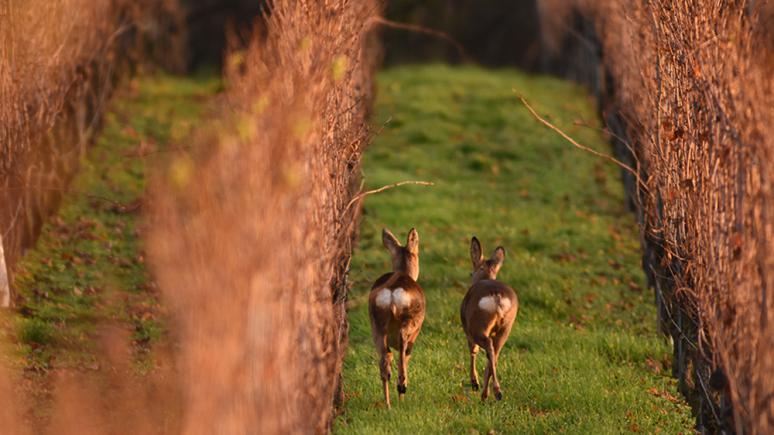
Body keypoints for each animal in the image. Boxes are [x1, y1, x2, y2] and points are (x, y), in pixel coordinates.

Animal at [368, 228, 428, 408]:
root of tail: (393, 292)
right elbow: (407, 356)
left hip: (376, 325)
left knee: (384, 361)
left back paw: (388, 404)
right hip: (410, 321)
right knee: (402, 351)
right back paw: (402, 389)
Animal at [464, 238, 520, 402]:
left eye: (471, 272)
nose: (471, 273)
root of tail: (497, 297)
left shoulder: (468, 331)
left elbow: (473, 351)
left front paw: (474, 383)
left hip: (477, 325)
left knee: (488, 348)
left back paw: (493, 392)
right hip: (506, 327)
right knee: (494, 355)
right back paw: (489, 394)